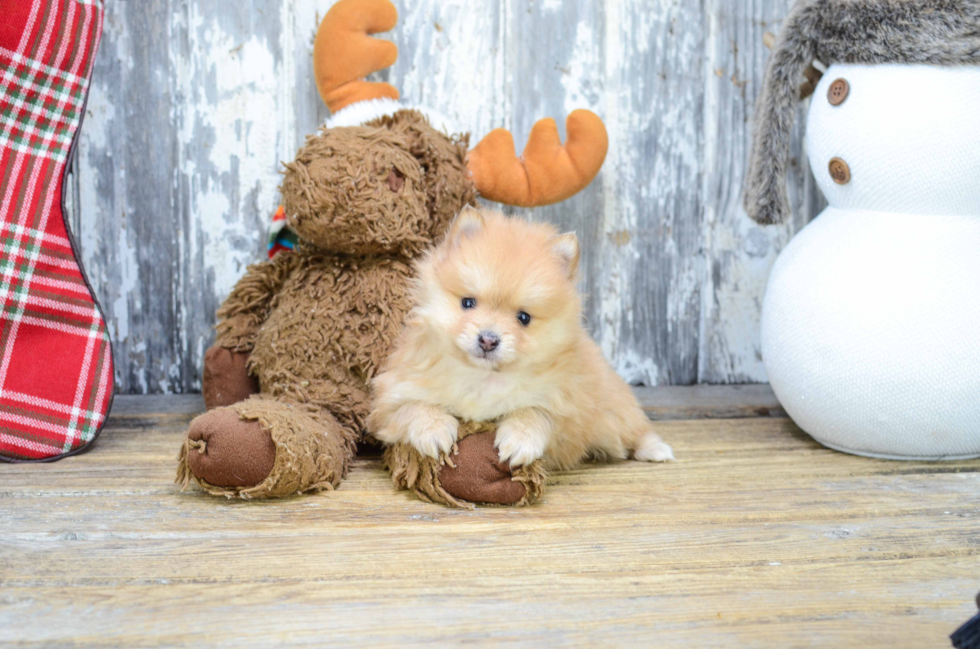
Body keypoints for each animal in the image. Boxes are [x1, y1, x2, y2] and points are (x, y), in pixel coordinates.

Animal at [368, 208, 672, 470]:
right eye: (468, 303)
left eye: (523, 318)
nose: (488, 340)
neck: (484, 378)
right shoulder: (390, 401)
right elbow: (413, 407)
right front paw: (434, 429)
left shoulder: (565, 409)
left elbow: (536, 413)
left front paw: (519, 440)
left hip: (614, 412)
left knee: (637, 429)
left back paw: (656, 450)